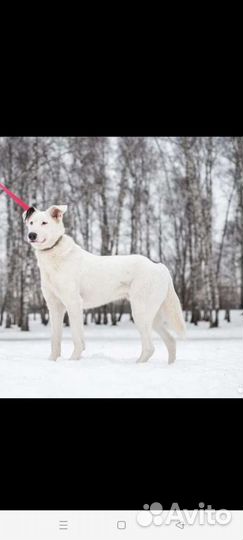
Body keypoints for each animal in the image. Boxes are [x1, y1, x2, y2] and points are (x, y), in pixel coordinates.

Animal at [23, 206, 186, 362]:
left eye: (44, 223)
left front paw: (73, 360)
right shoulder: (55, 306)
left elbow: (77, 338)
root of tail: (159, 266)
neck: (54, 253)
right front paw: (53, 360)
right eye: (31, 223)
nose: (31, 235)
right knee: (171, 341)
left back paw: (138, 363)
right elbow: (55, 339)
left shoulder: (73, 303)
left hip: (140, 312)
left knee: (150, 347)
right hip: (153, 316)